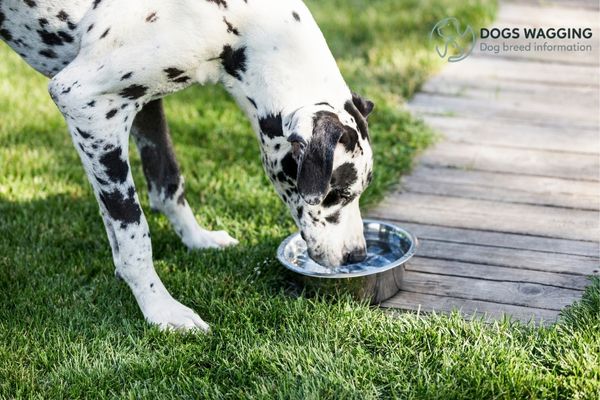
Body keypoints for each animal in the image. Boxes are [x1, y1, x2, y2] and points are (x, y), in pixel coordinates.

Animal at [1, 0, 376, 332]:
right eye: (337, 194)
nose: (357, 255)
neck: (235, 21)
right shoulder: (87, 103)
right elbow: (133, 230)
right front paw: (160, 308)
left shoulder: (140, 103)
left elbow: (166, 184)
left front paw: (196, 239)